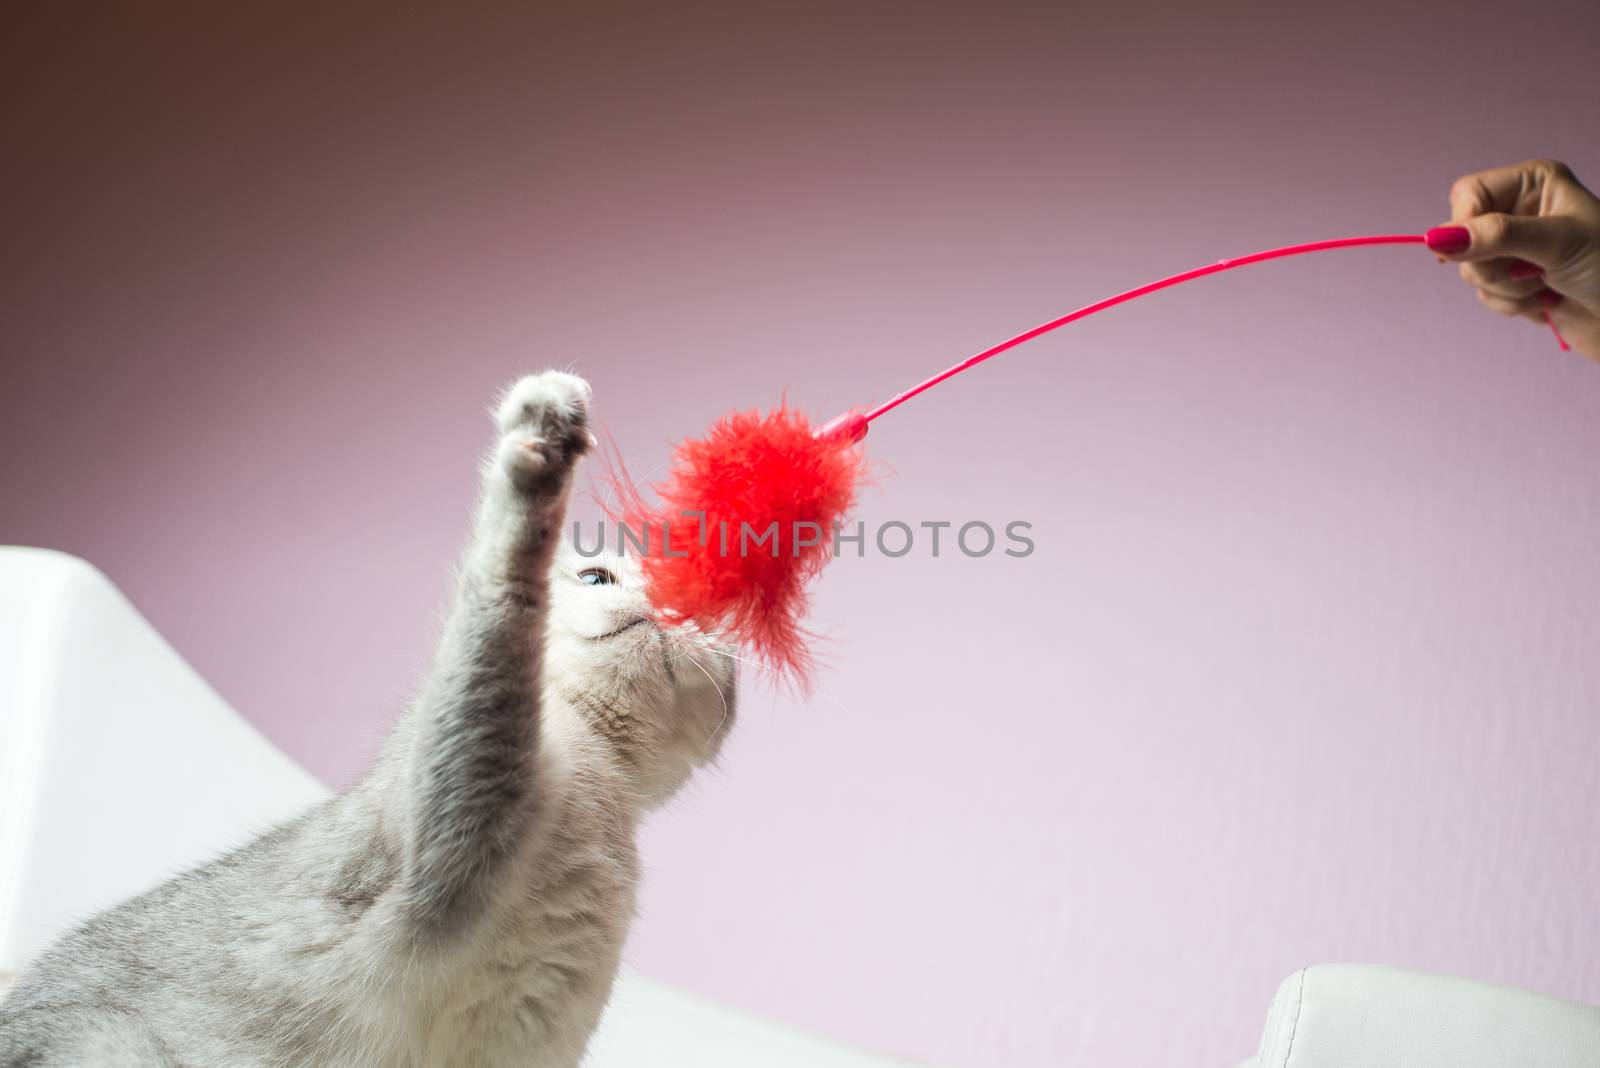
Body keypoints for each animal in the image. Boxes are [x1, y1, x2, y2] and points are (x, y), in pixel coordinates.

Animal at [0, 370, 736, 1061]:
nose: (659, 606)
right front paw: (538, 447)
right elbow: (498, 601)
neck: (599, 777)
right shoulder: (446, 835)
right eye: (595, 578)